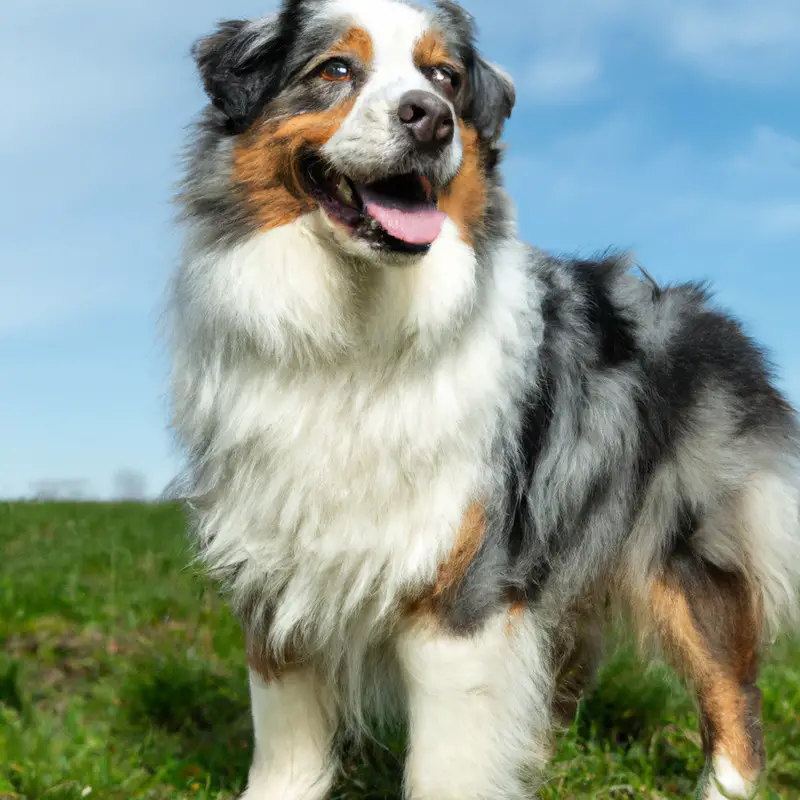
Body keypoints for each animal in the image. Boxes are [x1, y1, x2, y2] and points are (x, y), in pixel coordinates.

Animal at [169, 3, 800, 796]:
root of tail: (720, 322)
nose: (430, 120)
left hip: (683, 547)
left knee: (733, 689)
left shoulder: (463, 588)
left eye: (445, 78)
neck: (356, 331)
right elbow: (286, 741)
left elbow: (446, 760)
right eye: (335, 69)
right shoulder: (276, 564)